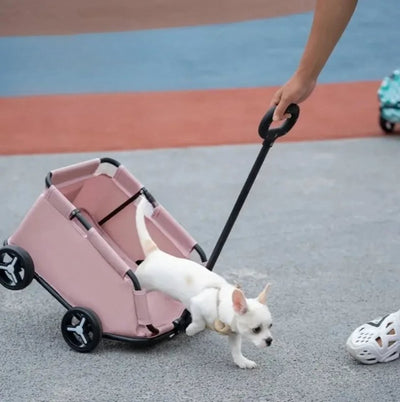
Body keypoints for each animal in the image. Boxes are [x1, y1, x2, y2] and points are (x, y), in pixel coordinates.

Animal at [136, 196, 274, 370]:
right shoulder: (196, 304)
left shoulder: (234, 333)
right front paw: (191, 330)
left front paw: (242, 361)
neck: (221, 303)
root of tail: (155, 252)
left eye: (270, 326)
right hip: (141, 282)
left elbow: (236, 349)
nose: (269, 340)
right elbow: (199, 322)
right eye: (256, 330)